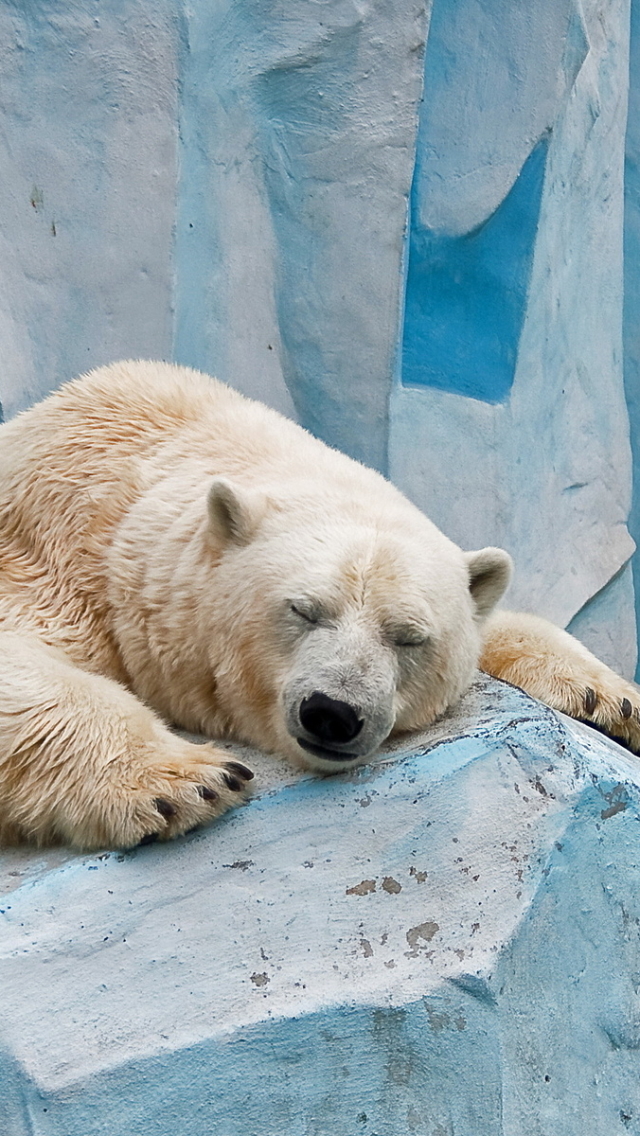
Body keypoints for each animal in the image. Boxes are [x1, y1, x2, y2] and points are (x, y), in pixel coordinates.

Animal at [0, 358, 636, 849]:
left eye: (409, 636)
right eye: (303, 610)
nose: (333, 712)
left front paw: (611, 699)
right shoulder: (47, 548)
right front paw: (191, 779)